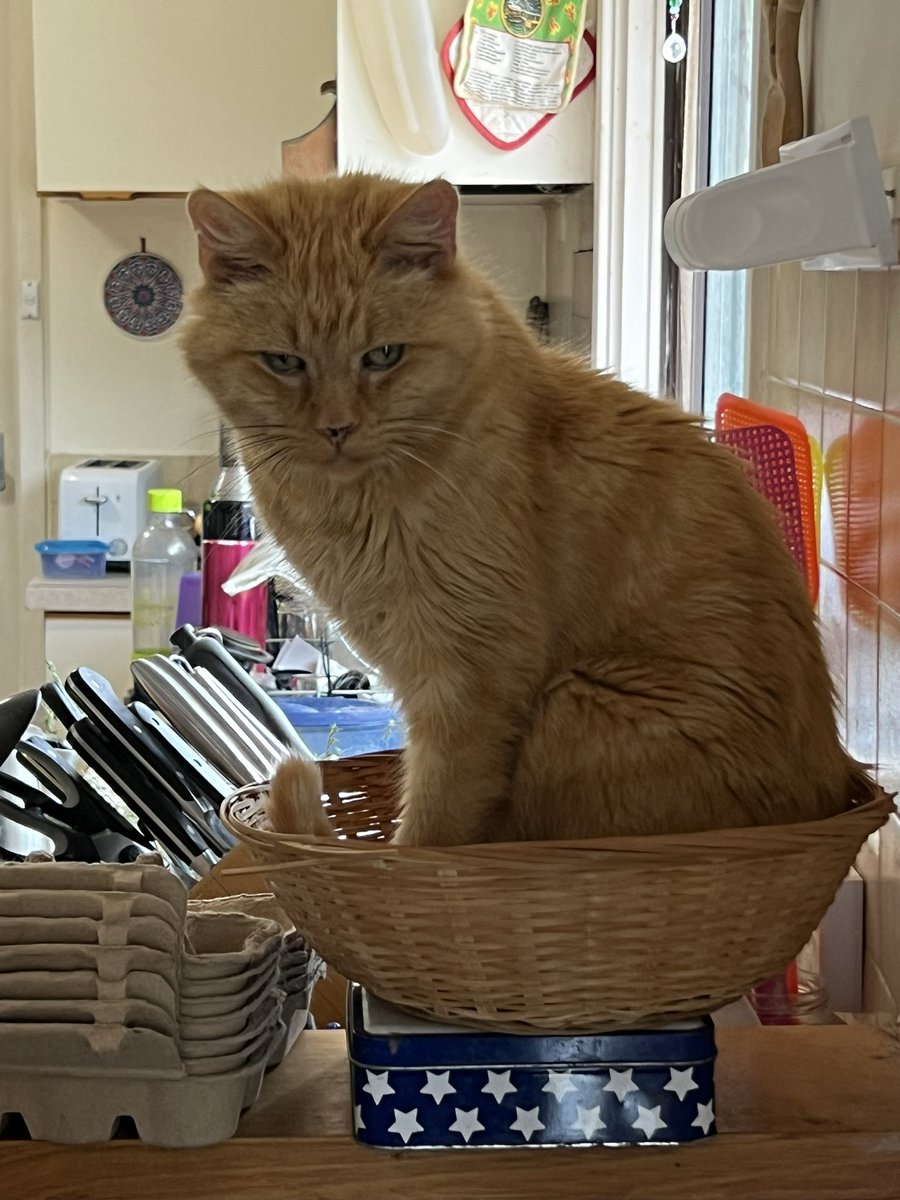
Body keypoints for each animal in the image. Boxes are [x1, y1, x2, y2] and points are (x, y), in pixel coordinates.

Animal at [181, 171, 868, 844]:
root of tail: (829, 787)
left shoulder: (471, 678)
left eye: (383, 355)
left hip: (575, 701)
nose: (336, 428)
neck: (348, 505)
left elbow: (433, 828)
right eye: (282, 362)